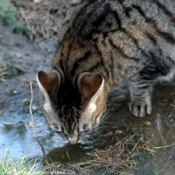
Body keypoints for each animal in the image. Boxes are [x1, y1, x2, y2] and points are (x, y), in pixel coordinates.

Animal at [36, 0, 175, 144]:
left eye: (84, 129)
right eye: (58, 130)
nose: (73, 142)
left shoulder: (152, 60)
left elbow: (140, 84)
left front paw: (139, 102)